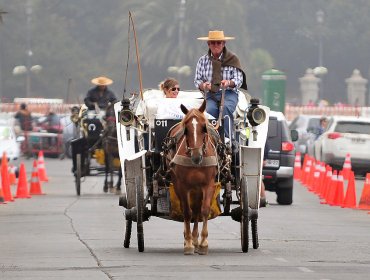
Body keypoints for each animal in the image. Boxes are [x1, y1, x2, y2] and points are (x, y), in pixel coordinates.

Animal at [166, 100, 218, 256]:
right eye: (186, 130)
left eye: (204, 128)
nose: (196, 156)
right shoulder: (183, 186)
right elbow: (187, 213)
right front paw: (188, 243)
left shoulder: (208, 184)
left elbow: (204, 210)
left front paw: (203, 243)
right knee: (188, 210)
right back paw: (189, 239)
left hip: (197, 189)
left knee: (196, 209)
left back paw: (196, 239)